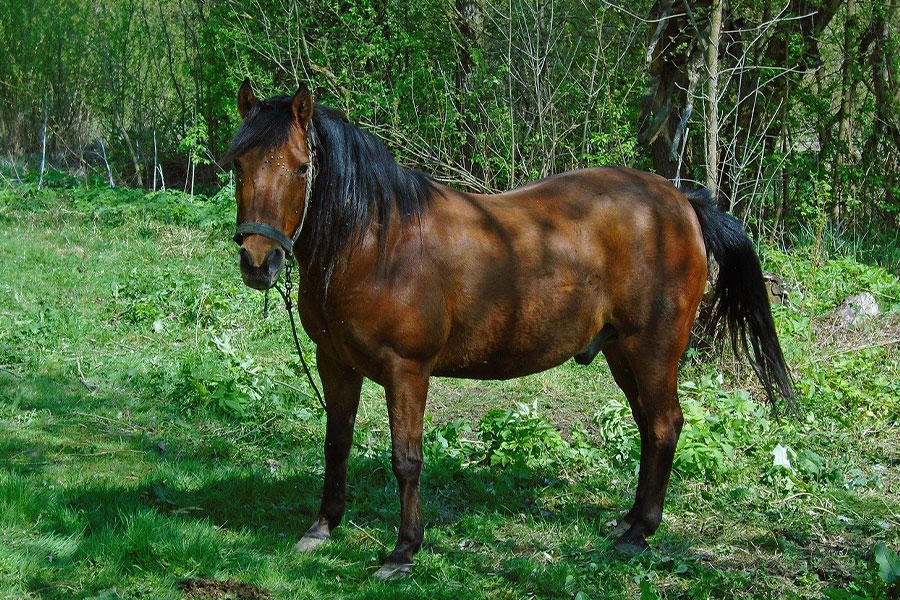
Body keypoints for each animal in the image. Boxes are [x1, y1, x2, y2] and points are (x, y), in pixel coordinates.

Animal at [225, 80, 794, 579]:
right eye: (238, 165)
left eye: (302, 168)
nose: (258, 260)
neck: (375, 244)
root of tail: (683, 204)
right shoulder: (335, 363)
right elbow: (336, 441)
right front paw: (323, 526)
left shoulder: (405, 371)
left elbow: (406, 459)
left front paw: (404, 550)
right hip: (621, 352)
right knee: (649, 427)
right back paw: (629, 521)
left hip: (653, 348)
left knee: (664, 424)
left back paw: (641, 531)